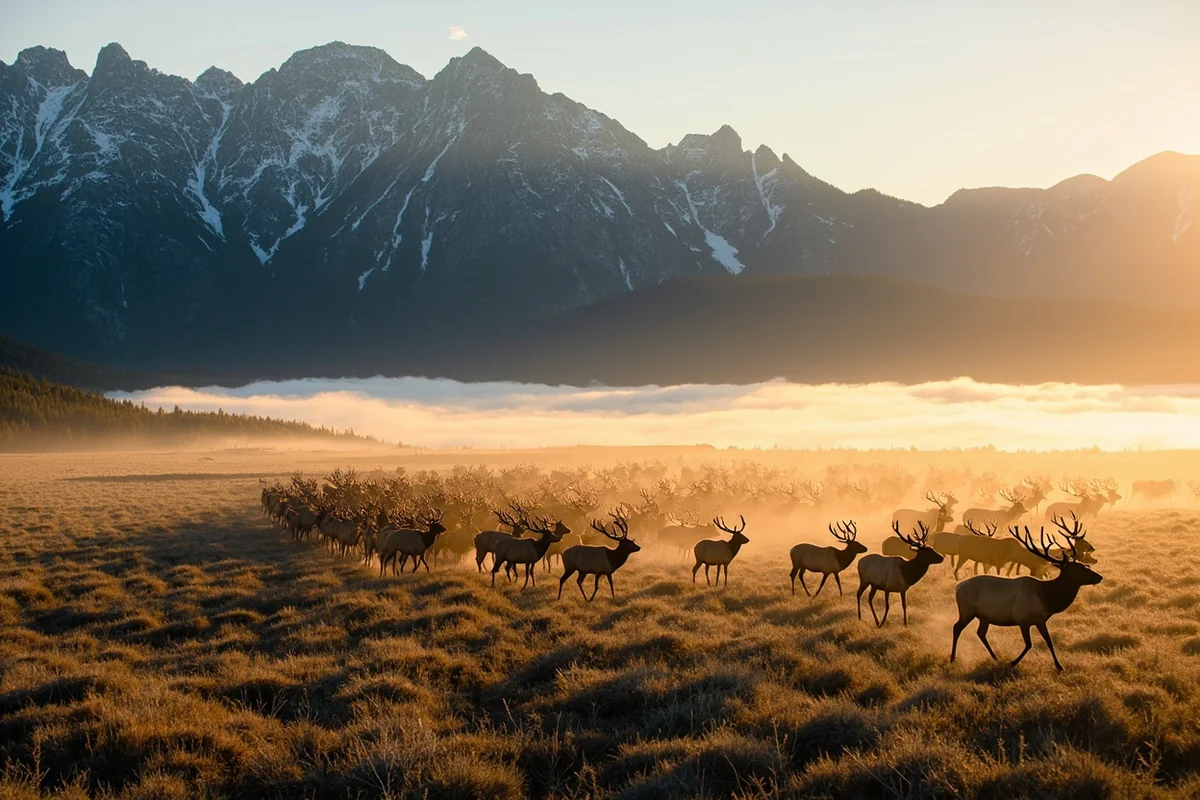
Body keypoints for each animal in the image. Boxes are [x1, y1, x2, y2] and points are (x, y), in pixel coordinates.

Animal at [950, 514, 1102, 671]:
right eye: (1081, 568)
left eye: (1084, 565)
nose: (1099, 577)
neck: (1047, 600)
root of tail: (958, 587)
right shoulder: (1023, 619)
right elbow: (1029, 644)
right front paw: (1013, 662)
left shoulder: (1040, 620)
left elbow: (1049, 641)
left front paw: (1059, 666)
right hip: (967, 610)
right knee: (957, 627)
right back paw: (953, 658)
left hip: (984, 616)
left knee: (980, 633)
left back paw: (995, 657)